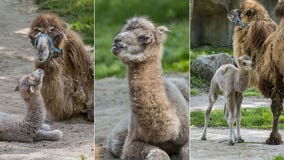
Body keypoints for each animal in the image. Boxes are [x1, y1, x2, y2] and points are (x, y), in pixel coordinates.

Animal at [108, 16, 189, 159]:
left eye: (145, 37)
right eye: (122, 31)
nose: (116, 41)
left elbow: (186, 151)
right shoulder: (130, 143)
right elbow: (158, 153)